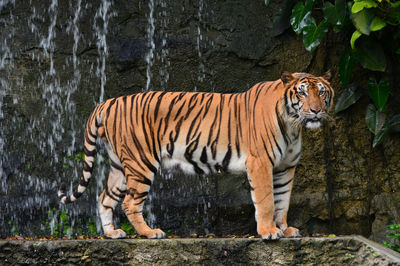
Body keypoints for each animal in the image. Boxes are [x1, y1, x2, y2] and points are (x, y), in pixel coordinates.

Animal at [58, 70, 334, 239]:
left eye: (321, 92)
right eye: (301, 92)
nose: (315, 111)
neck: (293, 124)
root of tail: (109, 102)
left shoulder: (286, 168)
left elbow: (283, 201)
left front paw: (285, 229)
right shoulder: (261, 163)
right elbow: (266, 201)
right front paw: (268, 231)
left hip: (120, 165)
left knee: (104, 197)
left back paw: (112, 233)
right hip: (140, 163)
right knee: (129, 202)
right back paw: (150, 233)